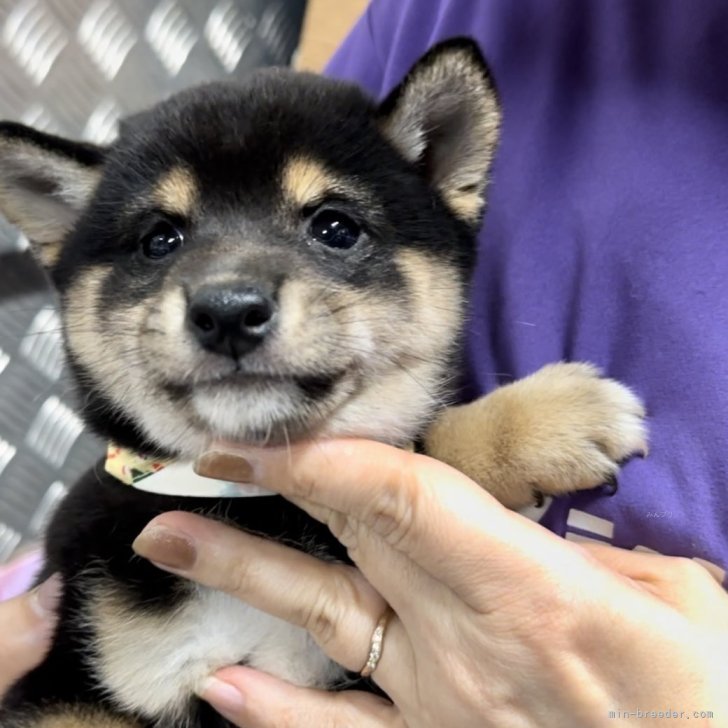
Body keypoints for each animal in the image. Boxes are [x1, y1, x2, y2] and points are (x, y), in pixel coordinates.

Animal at [0, 41, 648, 728]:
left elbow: (409, 450)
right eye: (159, 240)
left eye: (335, 227)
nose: (227, 311)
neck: (249, 505)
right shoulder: (65, 686)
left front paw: (537, 423)